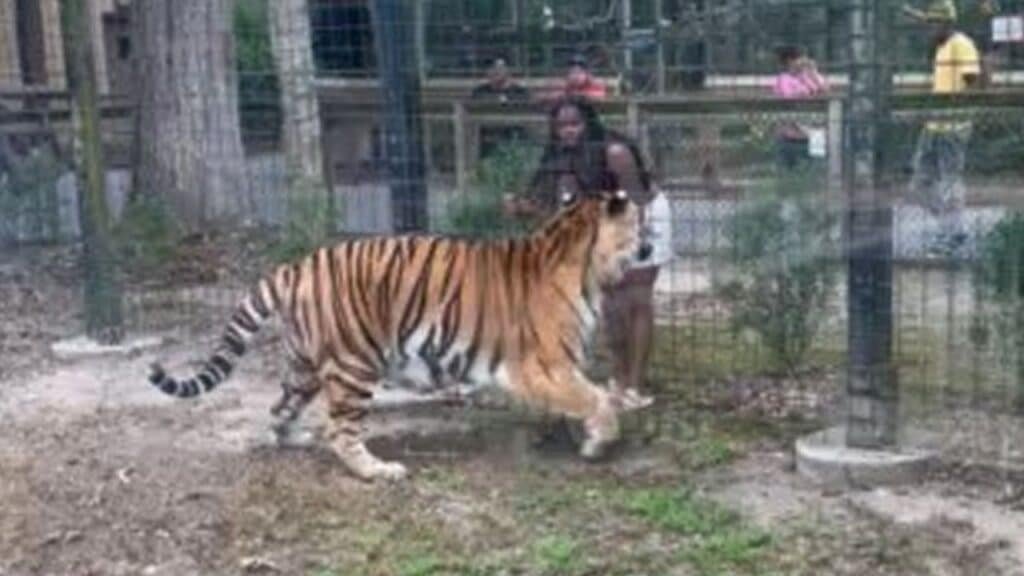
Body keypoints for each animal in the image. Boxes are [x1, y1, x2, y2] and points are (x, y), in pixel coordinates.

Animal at [147, 189, 651, 479]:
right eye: (640, 223)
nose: (651, 244)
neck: (584, 262)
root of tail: (297, 267)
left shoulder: (554, 369)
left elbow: (585, 397)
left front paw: (576, 435)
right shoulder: (541, 365)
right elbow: (597, 398)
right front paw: (599, 442)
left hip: (303, 367)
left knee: (280, 409)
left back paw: (295, 440)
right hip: (354, 364)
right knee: (340, 430)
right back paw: (379, 471)